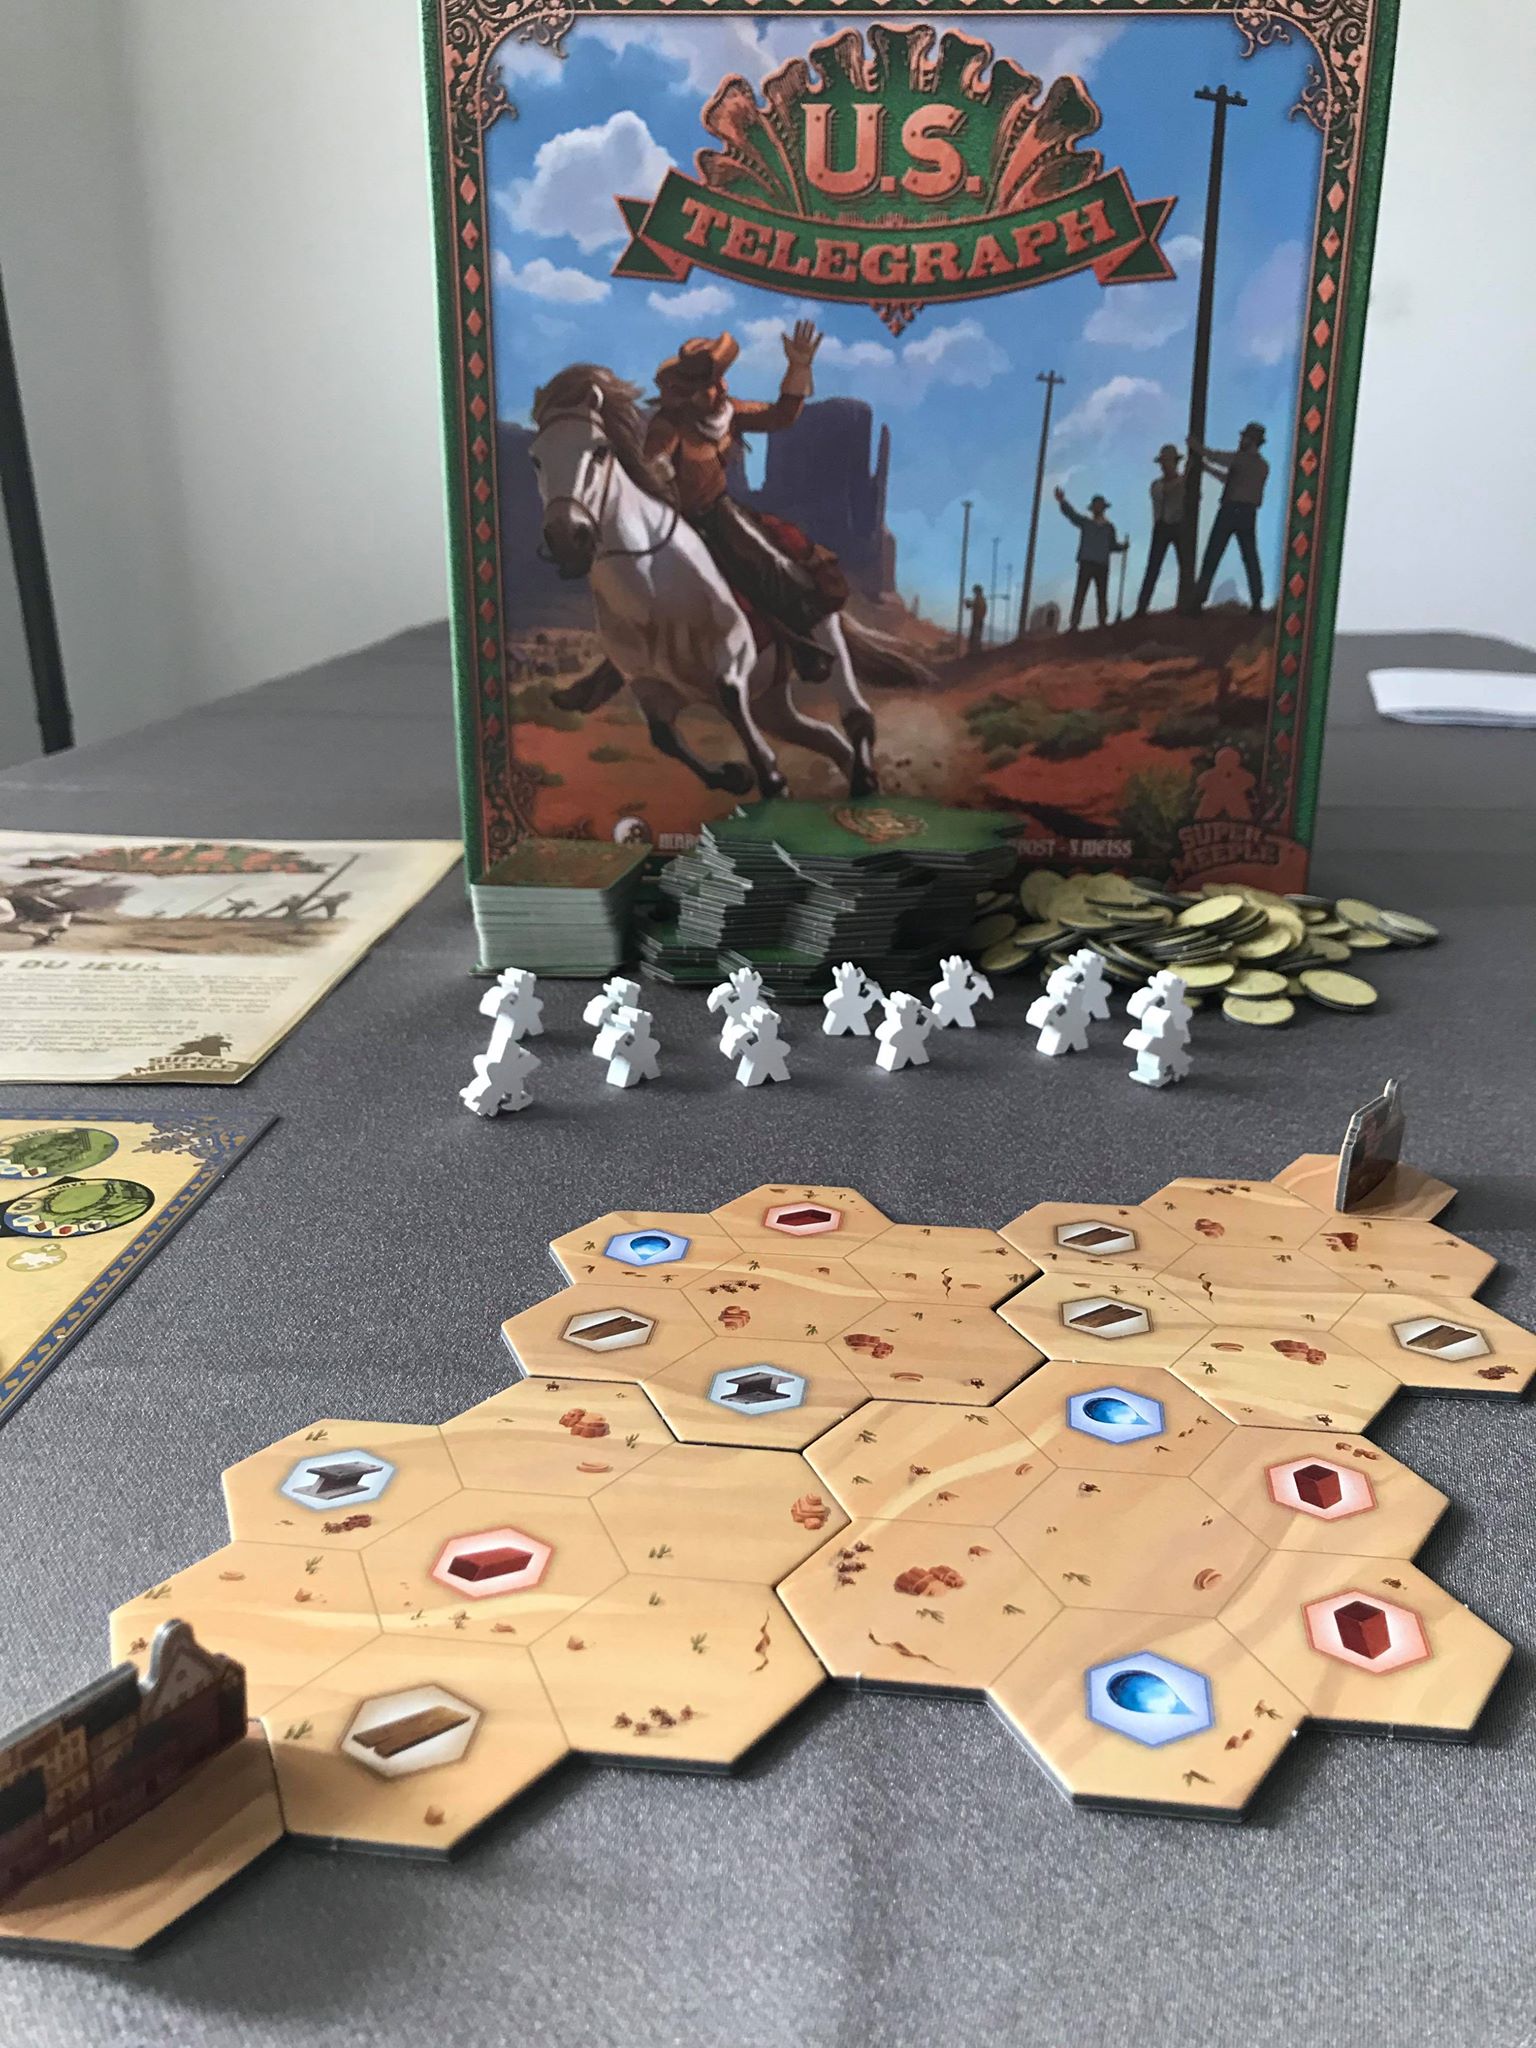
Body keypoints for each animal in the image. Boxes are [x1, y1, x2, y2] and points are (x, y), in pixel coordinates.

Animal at [528, 365, 879, 801]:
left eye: (599, 450)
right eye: (536, 459)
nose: (567, 538)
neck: (651, 588)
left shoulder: (733, 654)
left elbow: (729, 698)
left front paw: (770, 776)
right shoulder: (647, 685)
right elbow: (664, 737)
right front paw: (736, 776)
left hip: (822, 630)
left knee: (856, 715)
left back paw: (865, 778)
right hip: (771, 703)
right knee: (829, 739)